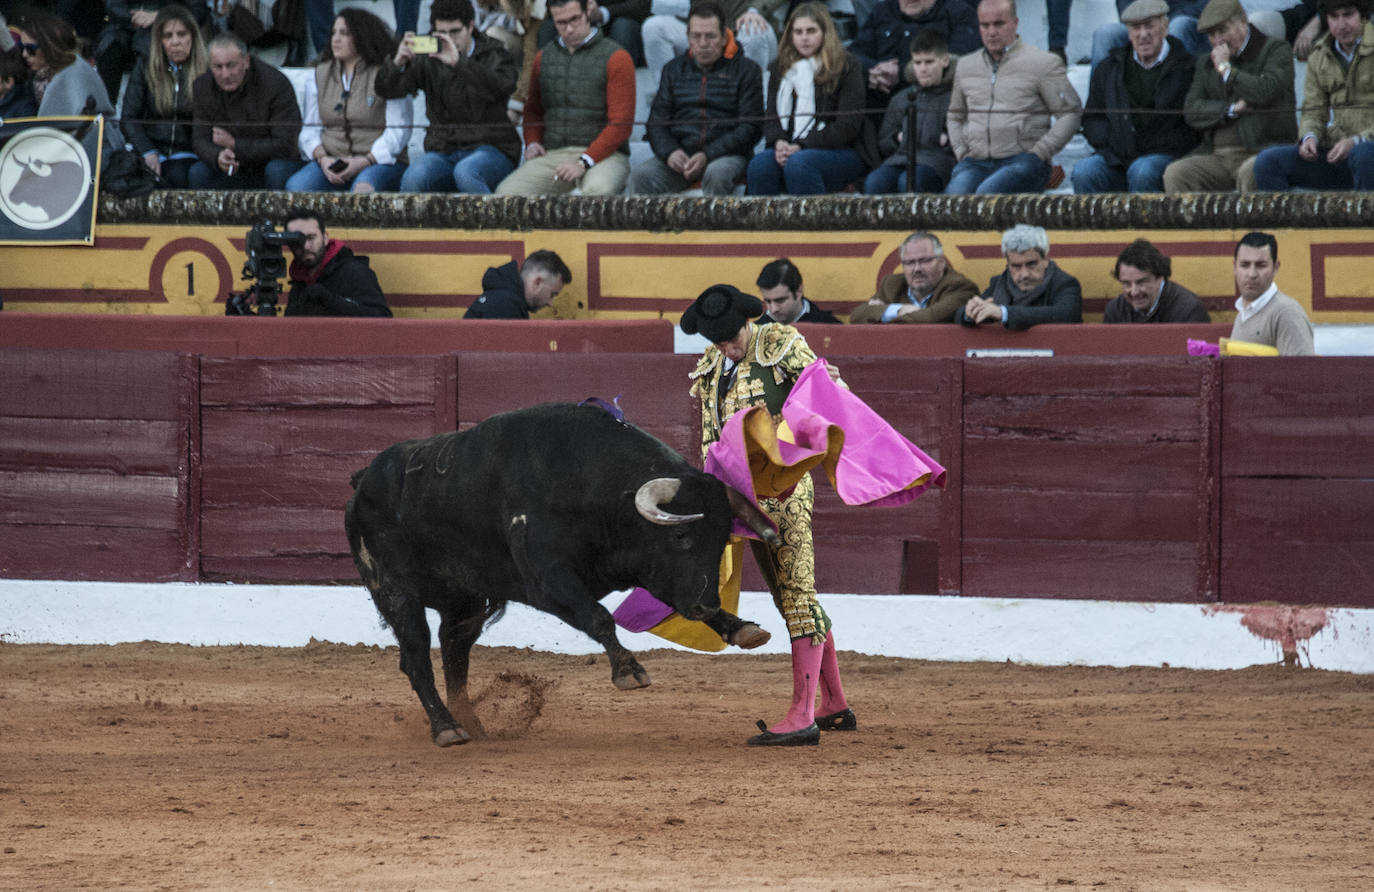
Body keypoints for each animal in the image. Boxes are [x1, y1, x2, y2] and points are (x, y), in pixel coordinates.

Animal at [343, 401, 780, 742]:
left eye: (722, 539)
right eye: (681, 535)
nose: (706, 605)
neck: (589, 485)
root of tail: (362, 481)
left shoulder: (643, 566)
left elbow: (669, 595)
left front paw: (740, 627)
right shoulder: (548, 580)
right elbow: (599, 617)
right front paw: (629, 671)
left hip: (463, 599)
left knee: (454, 650)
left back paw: (469, 722)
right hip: (395, 590)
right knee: (416, 654)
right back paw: (446, 728)